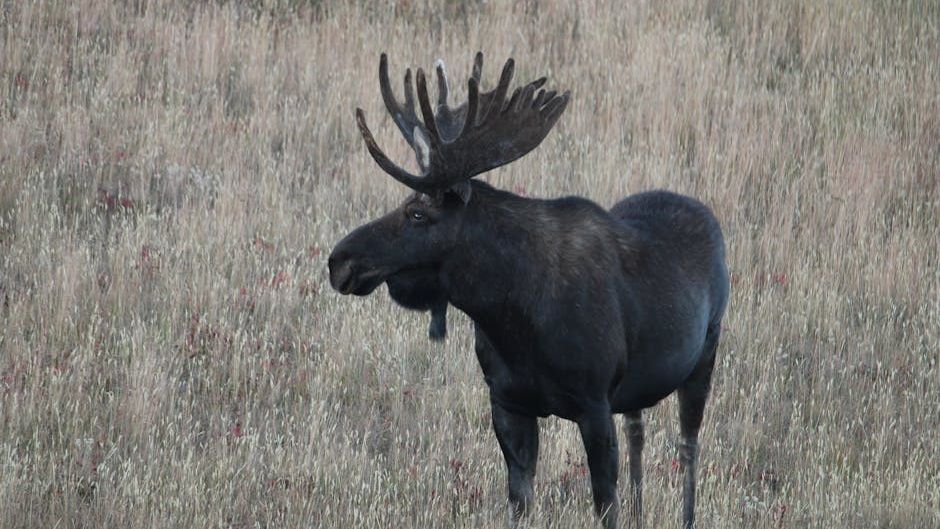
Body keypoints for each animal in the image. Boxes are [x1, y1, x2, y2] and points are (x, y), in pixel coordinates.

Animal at [328, 52, 730, 529]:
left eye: (418, 213)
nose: (339, 261)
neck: (511, 316)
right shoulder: (508, 402)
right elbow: (520, 500)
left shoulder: (594, 404)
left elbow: (604, 504)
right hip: (638, 389)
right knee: (639, 435)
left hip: (704, 355)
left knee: (688, 447)